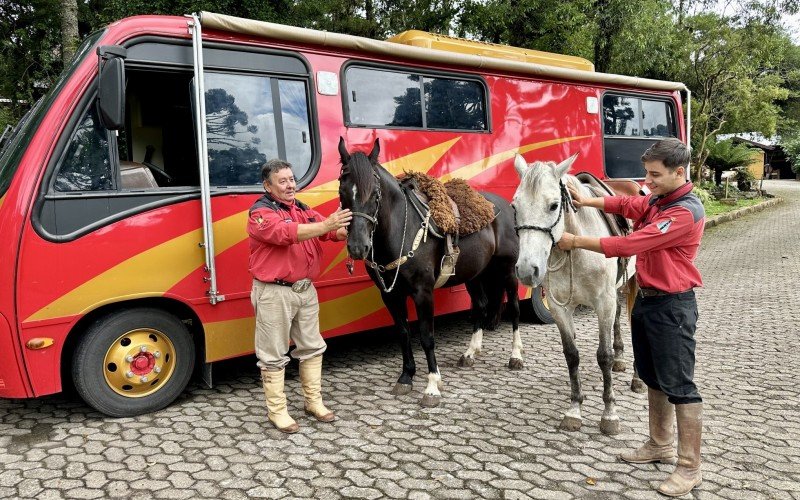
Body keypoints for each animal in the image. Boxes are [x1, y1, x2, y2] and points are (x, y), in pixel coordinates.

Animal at [336, 137, 520, 406]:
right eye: (342, 190)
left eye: (376, 194)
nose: (359, 246)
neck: (401, 230)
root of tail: (505, 207)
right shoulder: (390, 295)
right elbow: (403, 332)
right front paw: (406, 377)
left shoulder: (423, 292)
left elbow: (426, 336)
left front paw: (432, 386)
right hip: (475, 275)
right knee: (481, 306)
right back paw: (470, 353)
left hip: (508, 271)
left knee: (514, 308)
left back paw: (516, 356)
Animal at [516, 154, 640, 436]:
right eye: (515, 206)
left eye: (553, 205)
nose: (528, 270)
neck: (575, 250)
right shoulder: (560, 309)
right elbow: (571, 355)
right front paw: (574, 408)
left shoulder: (603, 304)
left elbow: (602, 355)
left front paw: (609, 413)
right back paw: (620, 358)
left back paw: (638, 379)